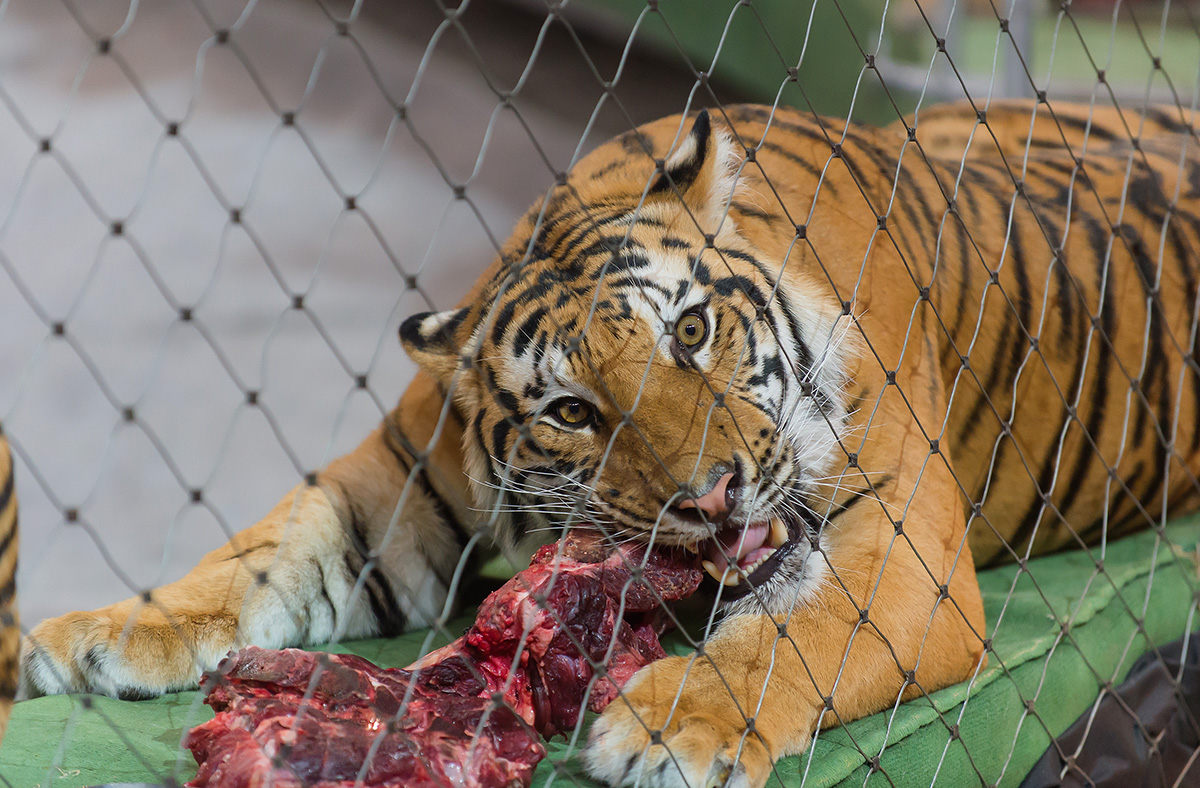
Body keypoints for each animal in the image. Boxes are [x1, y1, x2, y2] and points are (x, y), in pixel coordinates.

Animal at [16, 100, 1200, 786]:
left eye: (693, 330)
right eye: (572, 410)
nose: (712, 494)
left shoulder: (905, 558)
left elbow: (791, 636)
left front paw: (671, 723)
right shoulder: (392, 488)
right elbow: (261, 552)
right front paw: (99, 630)